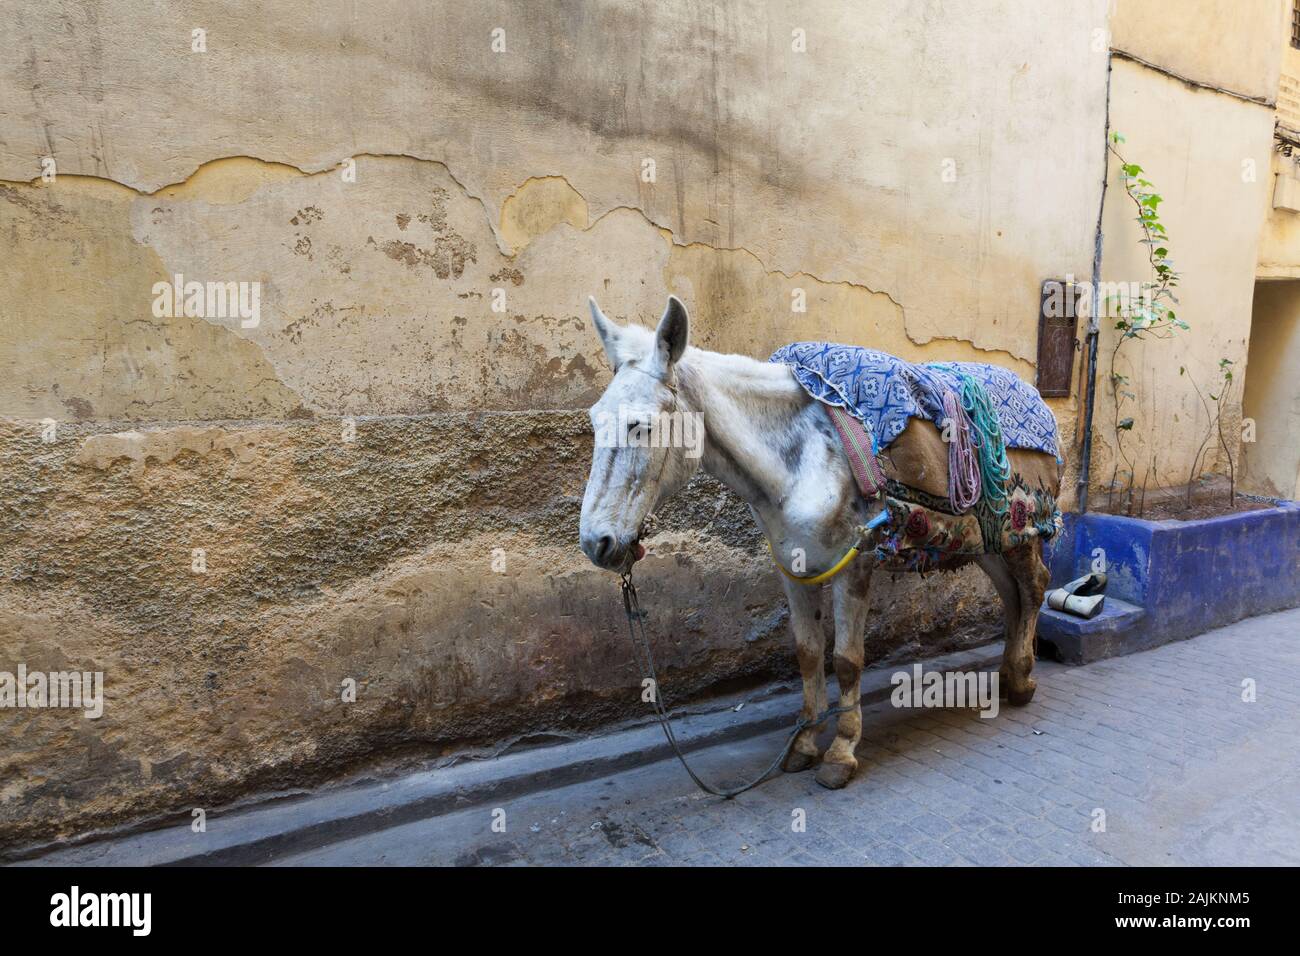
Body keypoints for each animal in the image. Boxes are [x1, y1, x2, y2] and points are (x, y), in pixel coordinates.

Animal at [579, 295, 1057, 790]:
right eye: (595, 420)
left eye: (640, 426)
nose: (598, 542)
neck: (801, 462)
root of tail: (1038, 400)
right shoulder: (793, 568)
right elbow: (808, 655)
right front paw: (804, 745)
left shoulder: (854, 566)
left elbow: (846, 660)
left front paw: (841, 753)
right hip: (987, 540)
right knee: (1011, 594)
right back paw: (1007, 675)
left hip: (1021, 532)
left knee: (1034, 587)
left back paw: (1022, 681)